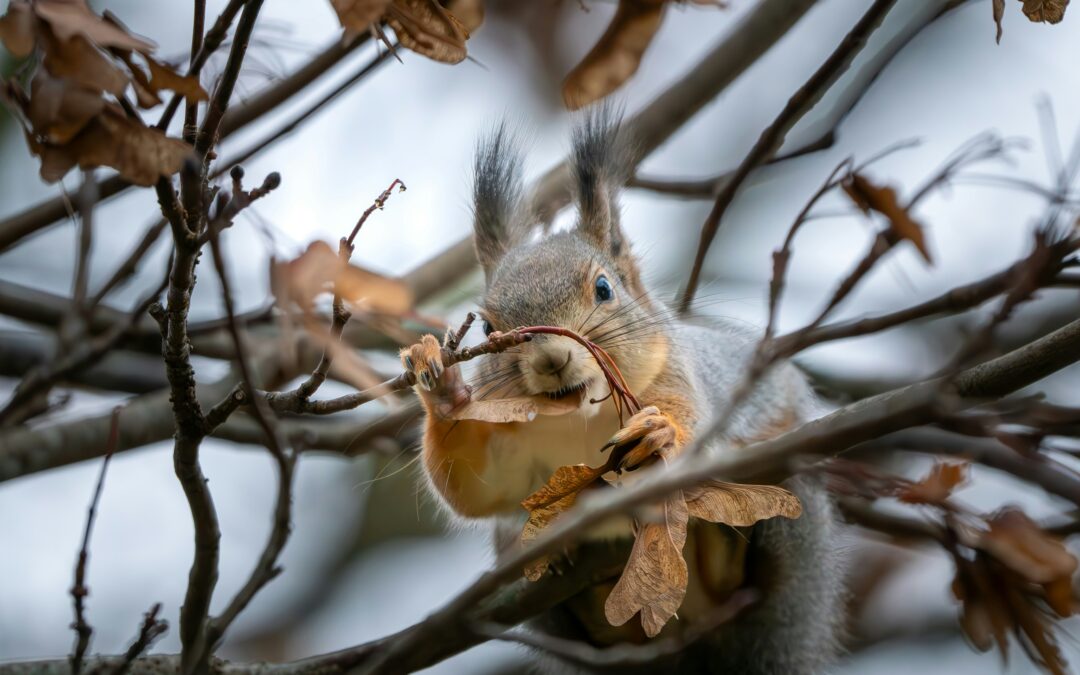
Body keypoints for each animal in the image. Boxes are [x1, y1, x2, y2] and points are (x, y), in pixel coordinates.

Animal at [400, 111, 844, 674]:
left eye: (604, 289)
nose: (551, 358)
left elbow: (691, 428)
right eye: (486, 328)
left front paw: (659, 432)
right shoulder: (508, 447)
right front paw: (443, 387)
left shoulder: (679, 377)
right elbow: (474, 489)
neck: (578, 418)